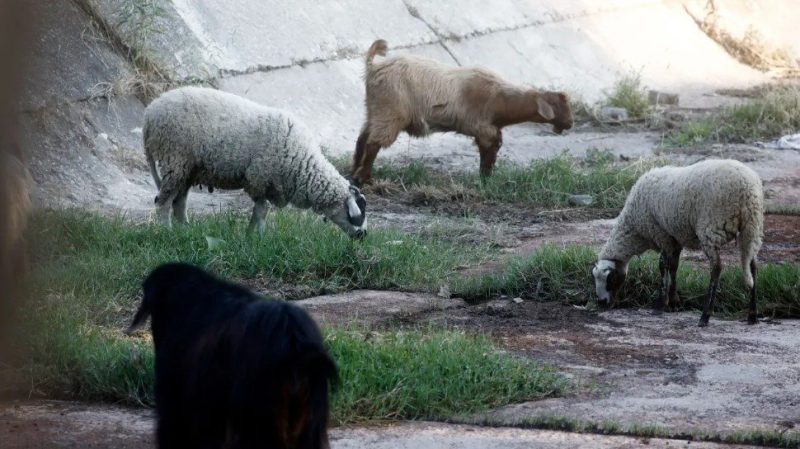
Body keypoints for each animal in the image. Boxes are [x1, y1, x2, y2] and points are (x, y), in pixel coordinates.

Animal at [144, 85, 368, 238]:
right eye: (357, 213)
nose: (363, 236)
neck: (303, 165)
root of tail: (150, 112)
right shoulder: (260, 178)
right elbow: (262, 211)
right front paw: (256, 236)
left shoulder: (268, 184)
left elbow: (261, 211)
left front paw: (254, 236)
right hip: (175, 157)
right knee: (164, 201)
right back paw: (166, 231)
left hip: (187, 168)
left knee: (179, 202)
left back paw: (185, 230)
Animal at [350, 39, 576, 186]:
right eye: (559, 105)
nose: (570, 123)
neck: (500, 98)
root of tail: (373, 67)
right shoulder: (483, 128)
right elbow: (488, 153)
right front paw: (485, 179)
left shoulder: (489, 129)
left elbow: (492, 151)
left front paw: (486, 178)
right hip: (390, 112)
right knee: (374, 143)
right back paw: (365, 178)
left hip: (374, 110)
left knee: (362, 139)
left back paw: (354, 172)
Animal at [592, 159, 764, 328]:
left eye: (610, 279)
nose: (602, 303)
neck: (634, 230)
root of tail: (747, 188)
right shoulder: (675, 238)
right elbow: (674, 266)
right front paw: (674, 302)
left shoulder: (661, 234)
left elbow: (663, 266)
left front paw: (661, 304)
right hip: (752, 227)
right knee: (753, 266)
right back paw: (752, 315)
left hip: (712, 226)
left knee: (716, 268)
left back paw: (705, 316)